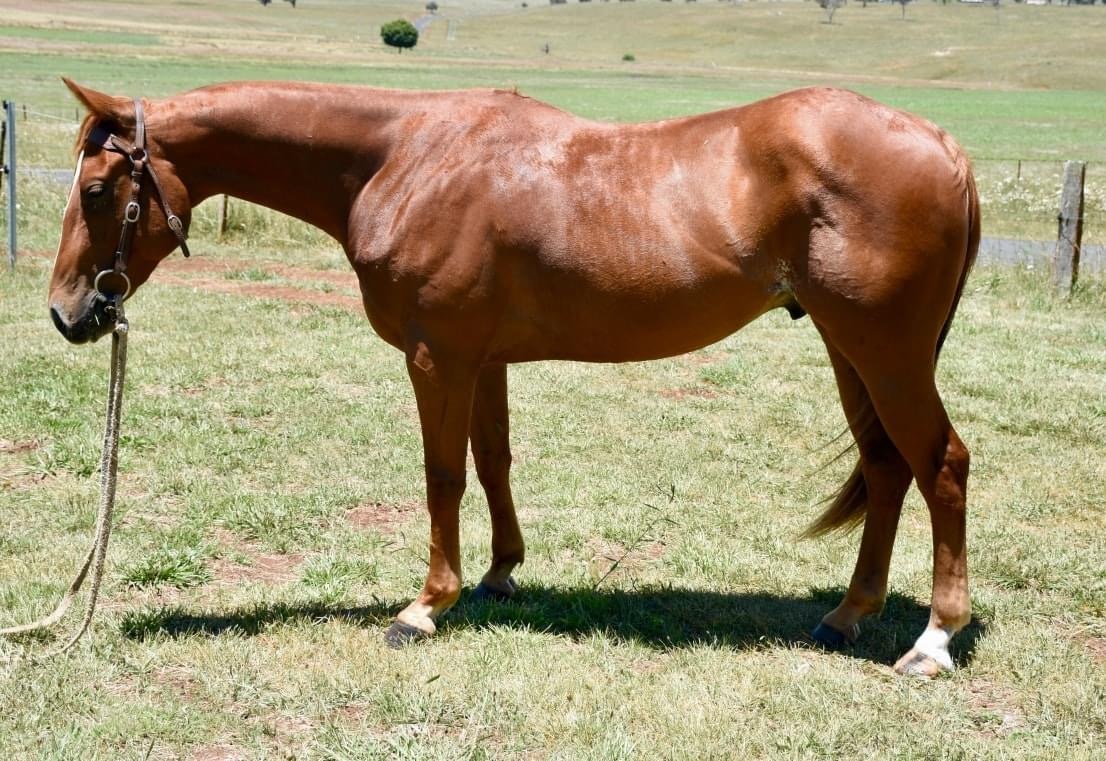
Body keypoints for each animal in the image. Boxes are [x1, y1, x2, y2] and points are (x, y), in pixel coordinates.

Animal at [49, 79, 979, 677]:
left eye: (96, 190)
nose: (66, 313)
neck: (402, 157)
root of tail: (944, 146)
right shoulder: (483, 359)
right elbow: (492, 463)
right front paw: (499, 575)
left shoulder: (437, 357)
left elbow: (442, 475)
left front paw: (425, 606)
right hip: (847, 346)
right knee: (888, 467)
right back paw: (849, 615)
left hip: (884, 349)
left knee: (940, 465)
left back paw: (932, 640)